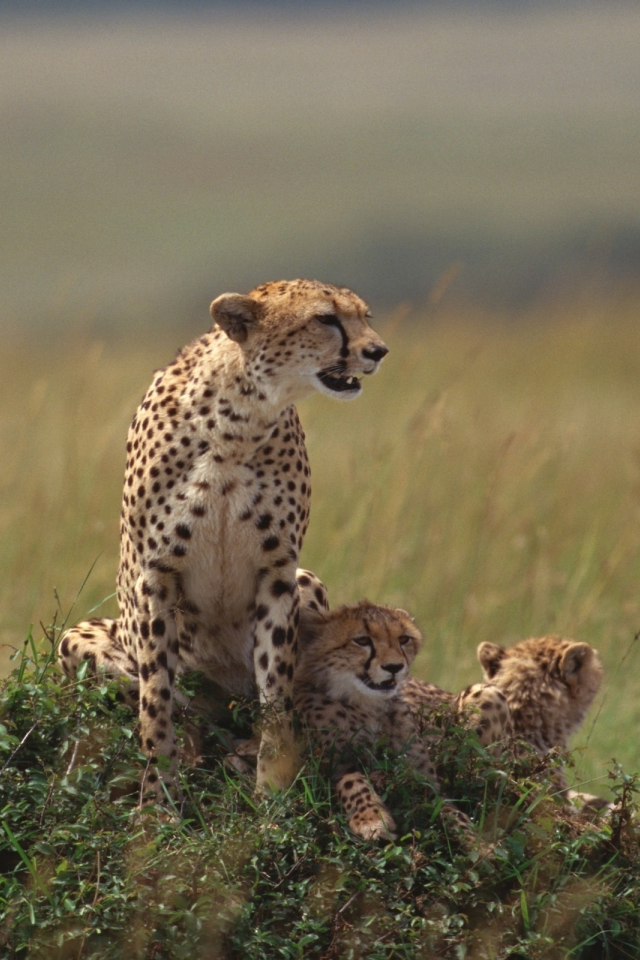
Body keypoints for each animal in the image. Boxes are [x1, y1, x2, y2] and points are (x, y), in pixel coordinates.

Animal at [60, 282, 388, 800]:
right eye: (326, 319)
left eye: (364, 317)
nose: (378, 351)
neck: (239, 422)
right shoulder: (156, 576)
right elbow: (156, 698)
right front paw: (158, 798)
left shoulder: (278, 572)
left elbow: (276, 684)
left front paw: (273, 789)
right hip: (79, 639)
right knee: (181, 708)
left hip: (307, 581)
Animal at [292, 596, 508, 836]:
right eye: (362, 640)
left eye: (403, 639)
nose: (394, 666)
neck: (369, 706)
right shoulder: (327, 766)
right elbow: (351, 780)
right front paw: (371, 819)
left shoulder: (428, 786)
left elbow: (454, 815)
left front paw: (477, 842)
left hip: (488, 692)